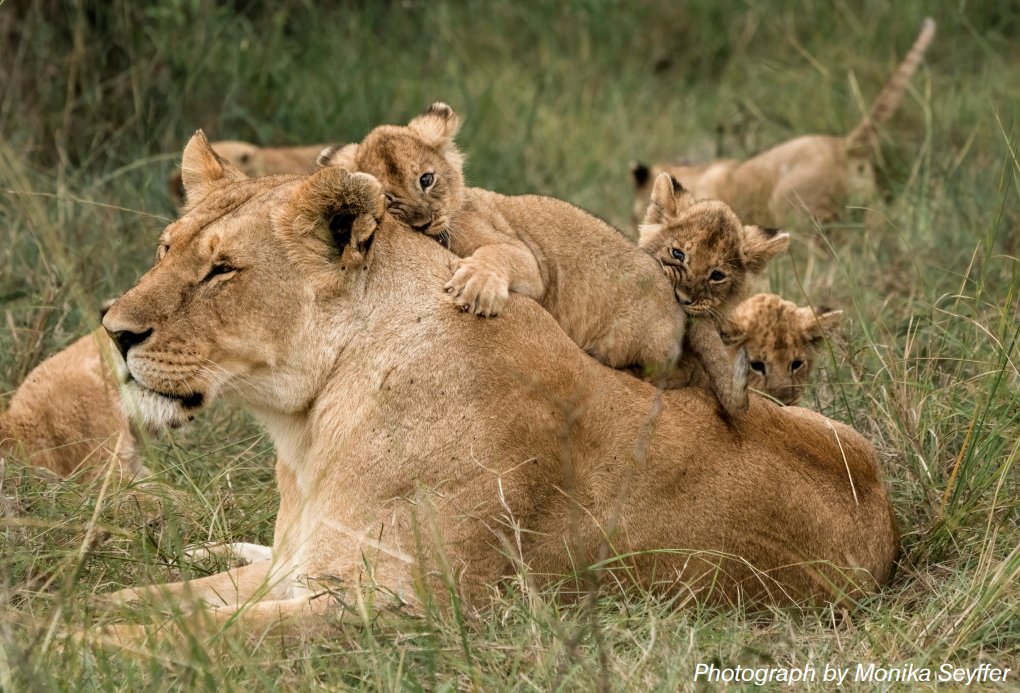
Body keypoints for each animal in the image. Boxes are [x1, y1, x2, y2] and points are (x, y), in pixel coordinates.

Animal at [319, 102, 754, 415]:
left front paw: (477, 286)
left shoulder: (526, 259)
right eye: (390, 199)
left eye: (426, 179)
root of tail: (678, 299)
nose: (425, 221)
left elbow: (495, 254)